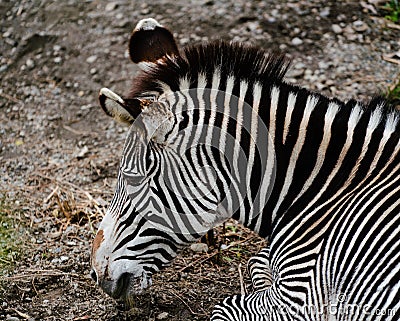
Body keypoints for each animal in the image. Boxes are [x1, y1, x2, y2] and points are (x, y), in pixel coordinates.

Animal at [90, 18, 400, 318]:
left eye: (133, 179)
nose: (96, 273)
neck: (324, 188)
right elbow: (257, 261)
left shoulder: (300, 296)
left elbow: (224, 308)